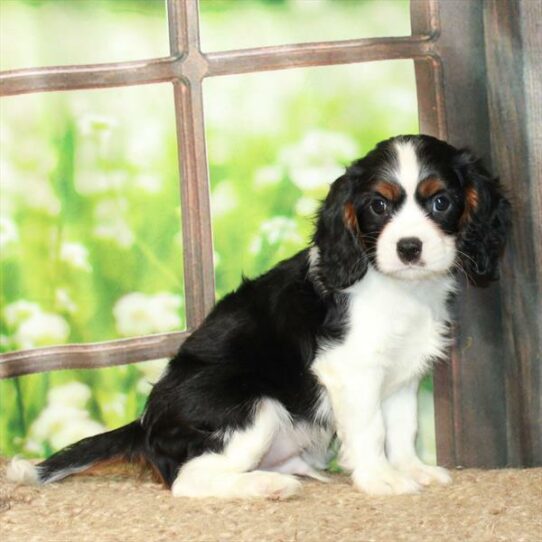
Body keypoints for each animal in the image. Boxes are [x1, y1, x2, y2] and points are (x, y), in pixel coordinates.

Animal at [8, 136, 512, 502]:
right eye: (379, 206)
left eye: (441, 203)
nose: (409, 247)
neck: (399, 288)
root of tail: (145, 422)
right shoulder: (351, 371)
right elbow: (371, 429)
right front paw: (380, 479)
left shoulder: (402, 373)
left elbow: (402, 428)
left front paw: (412, 470)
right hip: (254, 406)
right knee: (187, 481)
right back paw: (267, 485)